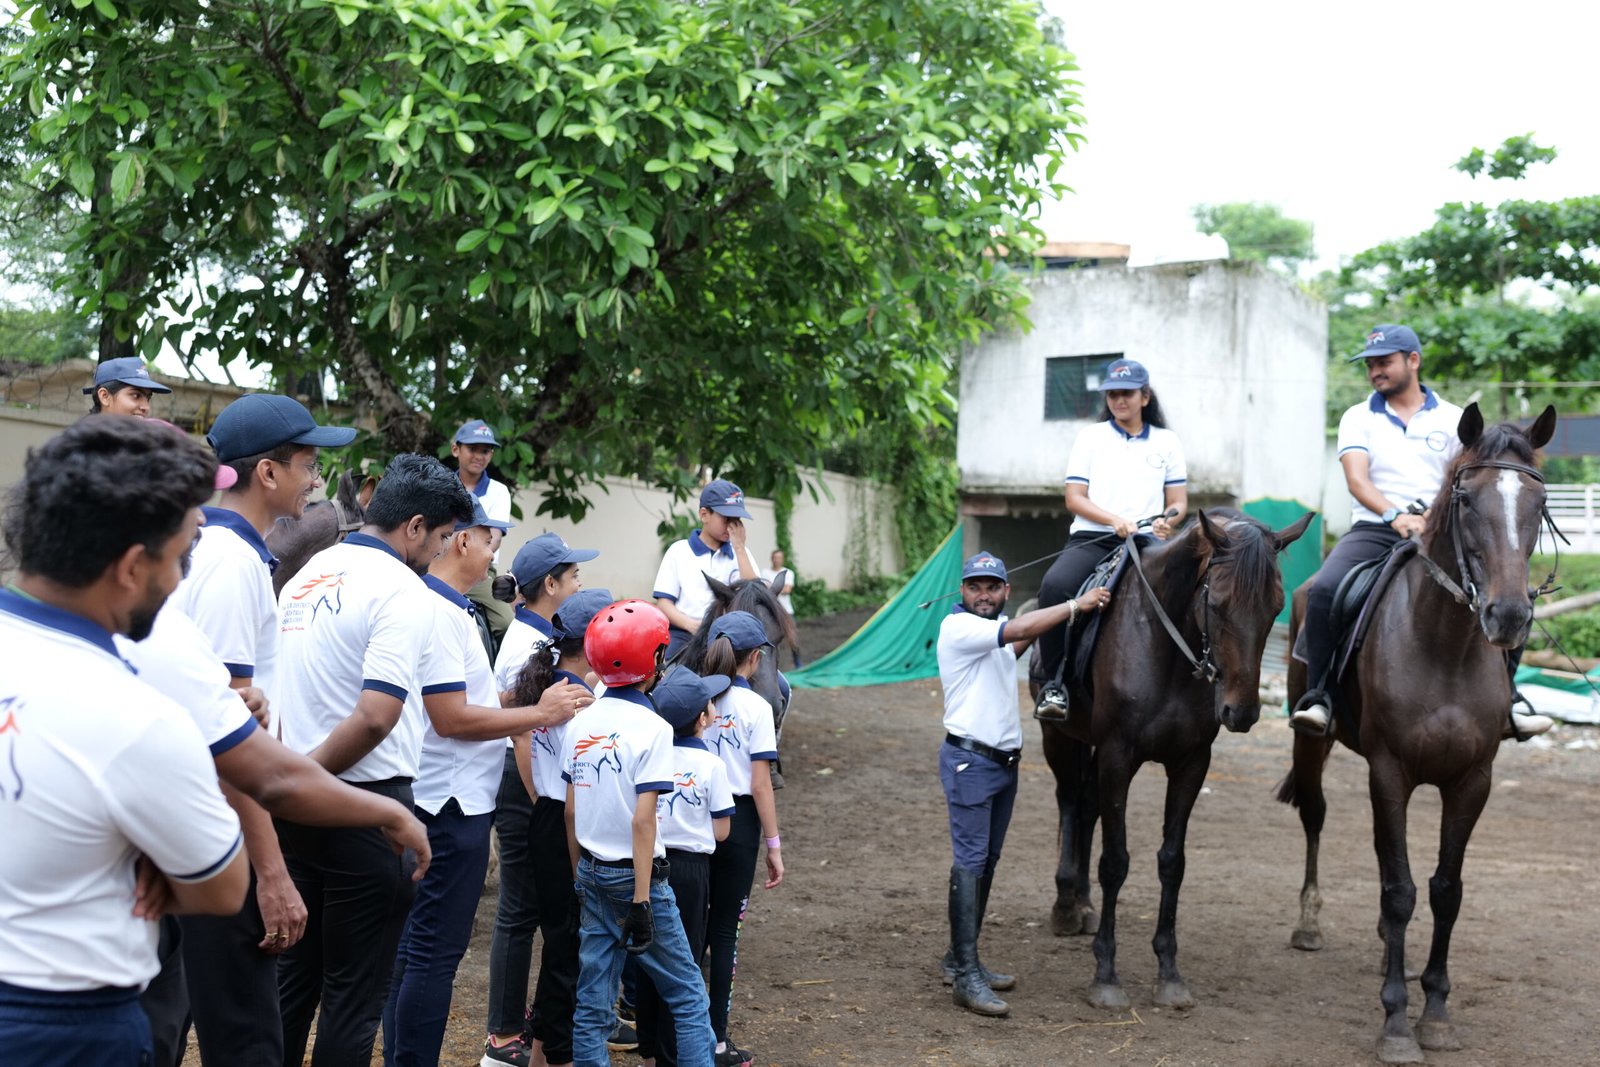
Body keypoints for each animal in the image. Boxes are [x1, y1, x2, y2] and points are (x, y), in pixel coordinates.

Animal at [1036, 508, 1312, 1011]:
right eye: (1217, 604)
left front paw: (1169, 973)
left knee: (1085, 808)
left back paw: (1082, 904)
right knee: (1068, 801)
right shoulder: (1118, 757)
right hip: (1059, 737)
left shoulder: (1191, 764)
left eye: (1276, 607)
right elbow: (1116, 861)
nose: (1242, 712)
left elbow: (1172, 861)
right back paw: (1066, 905)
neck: (1163, 648)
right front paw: (1106, 975)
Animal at [1280, 404, 1555, 1062]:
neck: (1446, 645)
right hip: (1312, 742)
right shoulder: (1391, 772)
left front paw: (1435, 1012)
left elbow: (1444, 889)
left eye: (1538, 502)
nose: (1509, 616)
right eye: (1466, 499)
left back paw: (1389, 951)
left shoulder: (1472, 780)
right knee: (1316, 815)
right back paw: (1310, 923)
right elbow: (1401, 890)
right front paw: (1397, 1024)